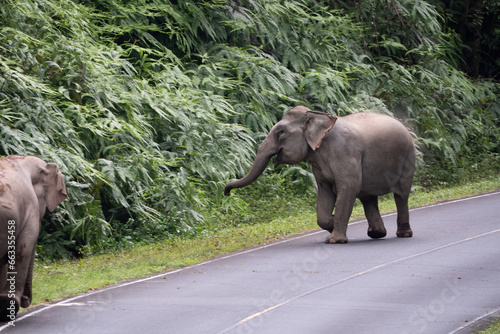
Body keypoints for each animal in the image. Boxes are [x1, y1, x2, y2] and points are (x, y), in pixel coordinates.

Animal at [225, 105, 416, 244]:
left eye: (281, 132)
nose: (226, 192)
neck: (318, 116)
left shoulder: (345, 152)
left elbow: (348, 188)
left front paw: (334, 240)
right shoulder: (318, 163)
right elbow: (324, 192)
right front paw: (331, 223)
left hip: (408, 158)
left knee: (400, 195)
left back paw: (403, 234)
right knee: (368, 197)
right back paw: (377, 234)